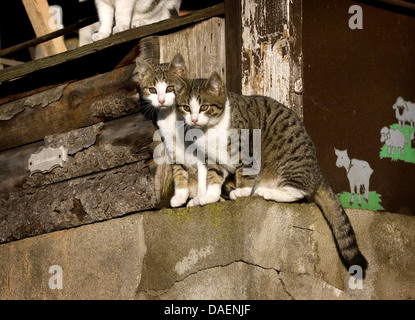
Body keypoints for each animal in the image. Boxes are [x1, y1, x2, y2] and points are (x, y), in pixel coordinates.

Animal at [175, 72, 368, 272]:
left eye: (204, 107)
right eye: (186, 108)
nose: (193, 119)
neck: (210, 130)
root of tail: (317, 171)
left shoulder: (247, 148)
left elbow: (245, 171)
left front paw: (242, 191)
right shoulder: (214, 159)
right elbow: (213, 178)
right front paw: (208, 197)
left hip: (290, 163)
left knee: (299, 191)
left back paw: (265, 191)